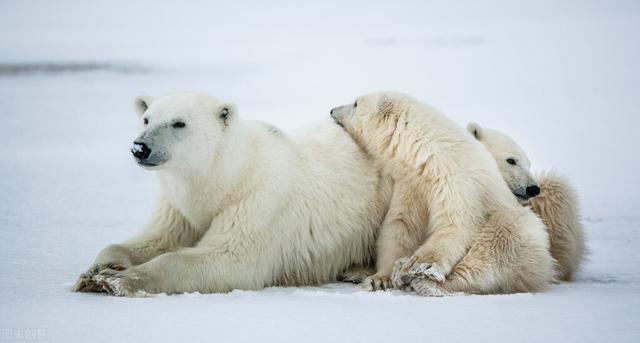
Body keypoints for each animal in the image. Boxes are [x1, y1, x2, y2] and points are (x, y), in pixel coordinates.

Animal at [75, 92, 396, 296]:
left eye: (179, 123)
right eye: (146, 118)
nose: (140, 148)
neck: (228, 175)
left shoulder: (259, 200)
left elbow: (230, 260)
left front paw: (115, 280)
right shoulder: (179, 207)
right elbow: (156, 239)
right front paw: (98, 269)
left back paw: (359, 270)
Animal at [330, 91, 556, 296]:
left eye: (356, 102)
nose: (332, 110)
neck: (430, 153)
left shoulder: (457, 181)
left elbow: (455, 225)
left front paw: (418, 264)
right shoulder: (412, 184)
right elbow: (401, 226)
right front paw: (380, 279)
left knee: (495, 245)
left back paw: (430, 283)